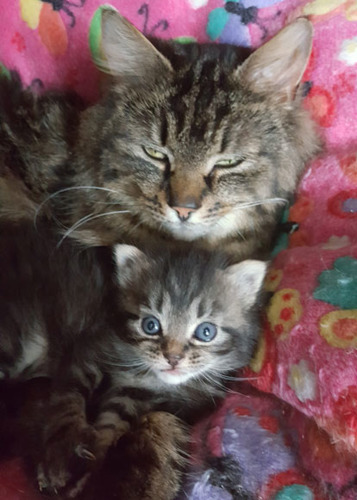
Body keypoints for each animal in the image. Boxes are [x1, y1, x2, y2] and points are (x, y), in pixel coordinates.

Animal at [0, 224, 268, 500]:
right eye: (151, 325)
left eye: (206, 332)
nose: (173, 358)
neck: (147, 376)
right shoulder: (91, 348)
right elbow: (69, 398)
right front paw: (63, 454)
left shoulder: (136, 397)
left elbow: (112, 427)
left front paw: (87, 471)